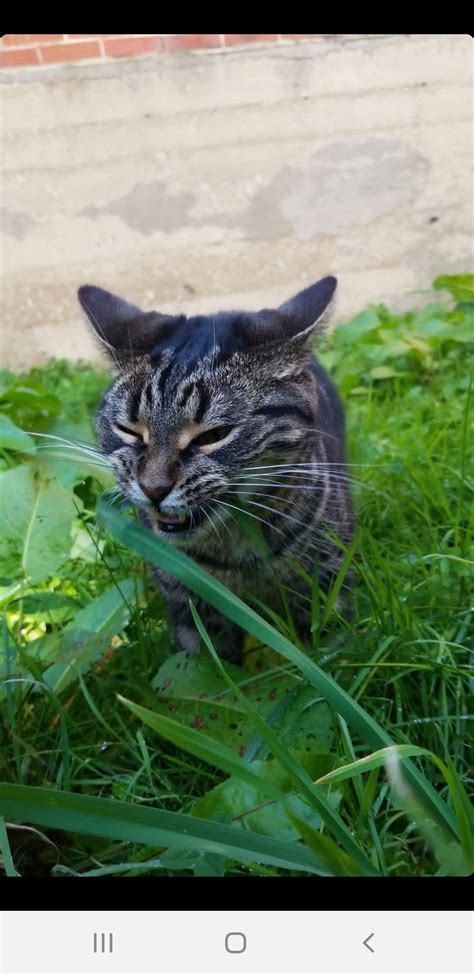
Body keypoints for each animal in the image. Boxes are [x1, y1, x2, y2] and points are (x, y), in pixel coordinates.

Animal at [78, 276, 352, 664]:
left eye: (213, 436)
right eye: (130, 431)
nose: (153, 488)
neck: (240, 554)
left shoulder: (328, 586)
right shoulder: (191, 610)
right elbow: (206, 668)